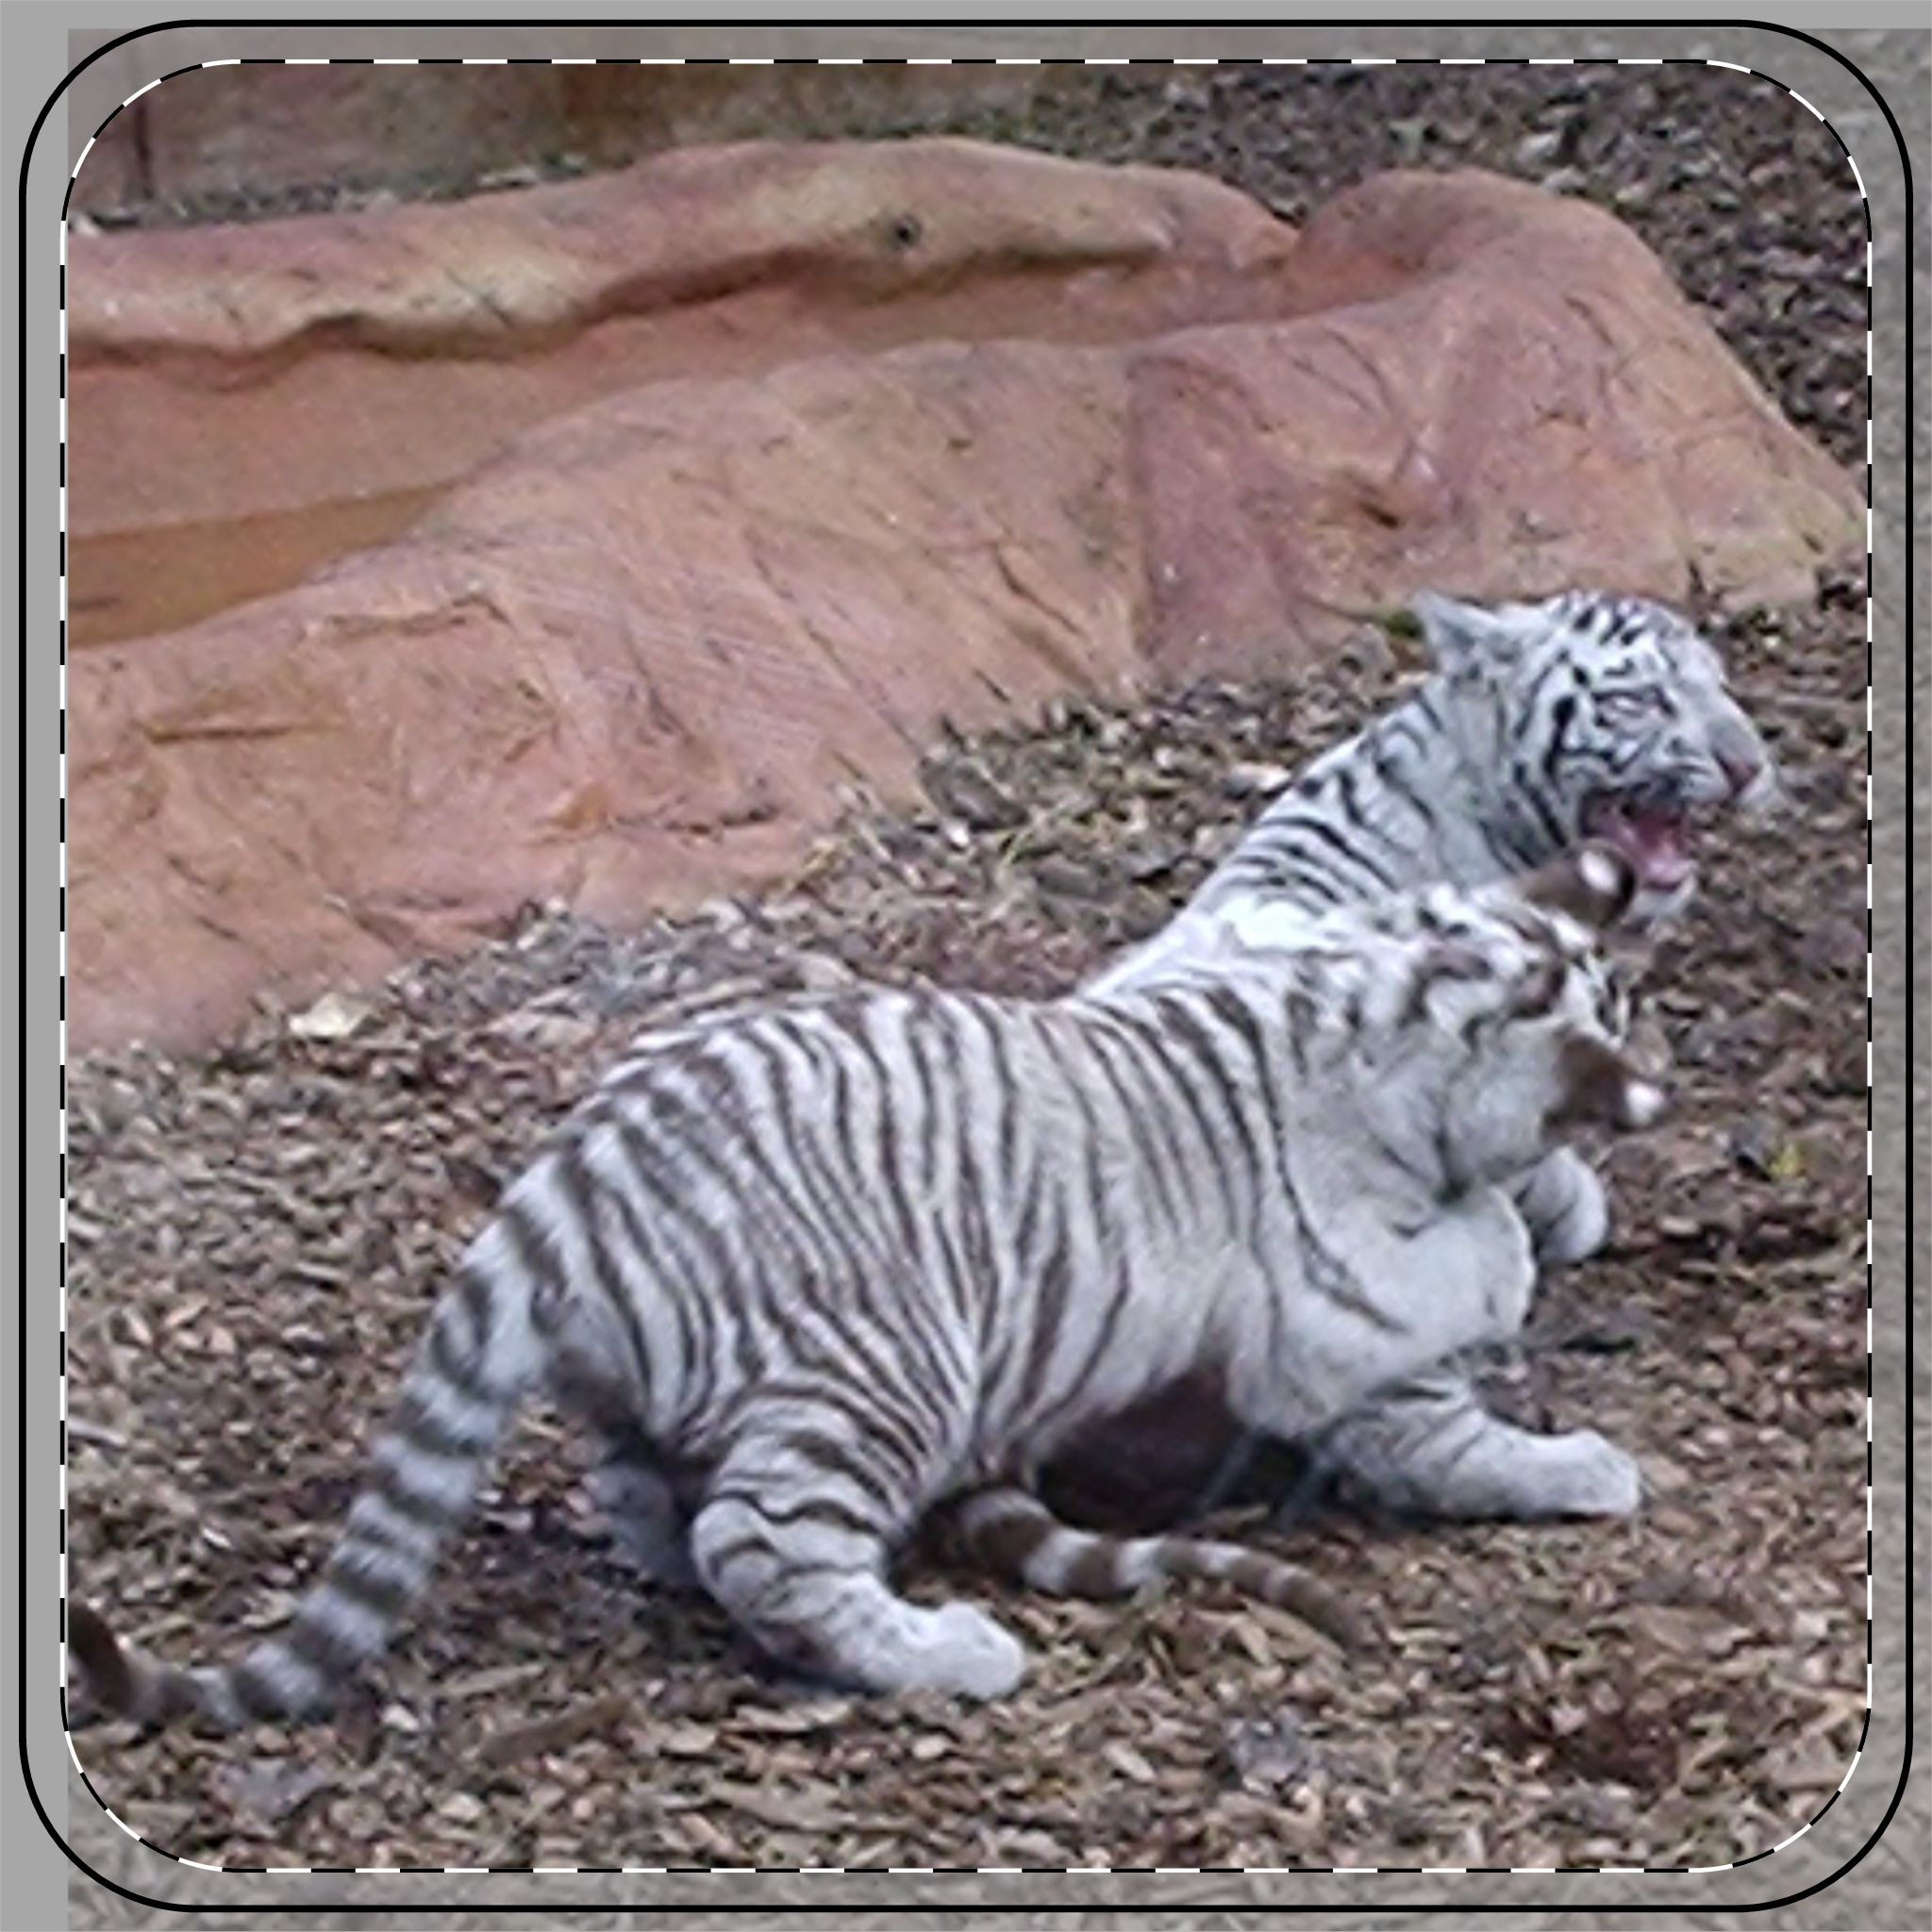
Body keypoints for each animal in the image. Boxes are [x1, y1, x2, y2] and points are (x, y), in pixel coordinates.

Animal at [68, 844, 1664, 1729]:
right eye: (1602, 1029)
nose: (1645, 1085)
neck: (1363, 1012)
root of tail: (568, 1184)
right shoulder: (1353, 1339)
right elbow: (1454, 1414)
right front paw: (1581, 1455)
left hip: (670, 1390)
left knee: (655, 1505)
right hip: (885, 1371)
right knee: (764, 1542)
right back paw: (942, 1651)